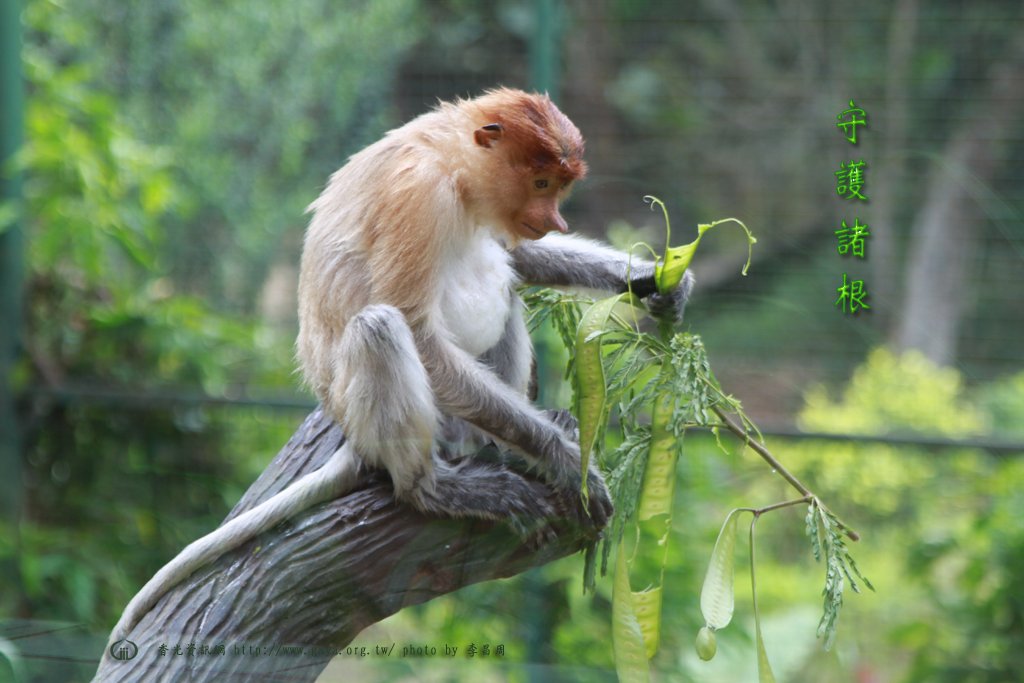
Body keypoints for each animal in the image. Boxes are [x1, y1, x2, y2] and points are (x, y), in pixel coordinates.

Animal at [108, 87, 692, 647]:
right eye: (542, 181)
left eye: (558, 189)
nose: (555, 221)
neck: (452, 162)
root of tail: (349, 434)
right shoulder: (419, 195)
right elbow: (419, 330)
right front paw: (570, 463)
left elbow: (518, 258)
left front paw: (653, 279)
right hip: (382, 415)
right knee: (380, 325)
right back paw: (435, 486)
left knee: (501, 284)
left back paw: (498, 444)